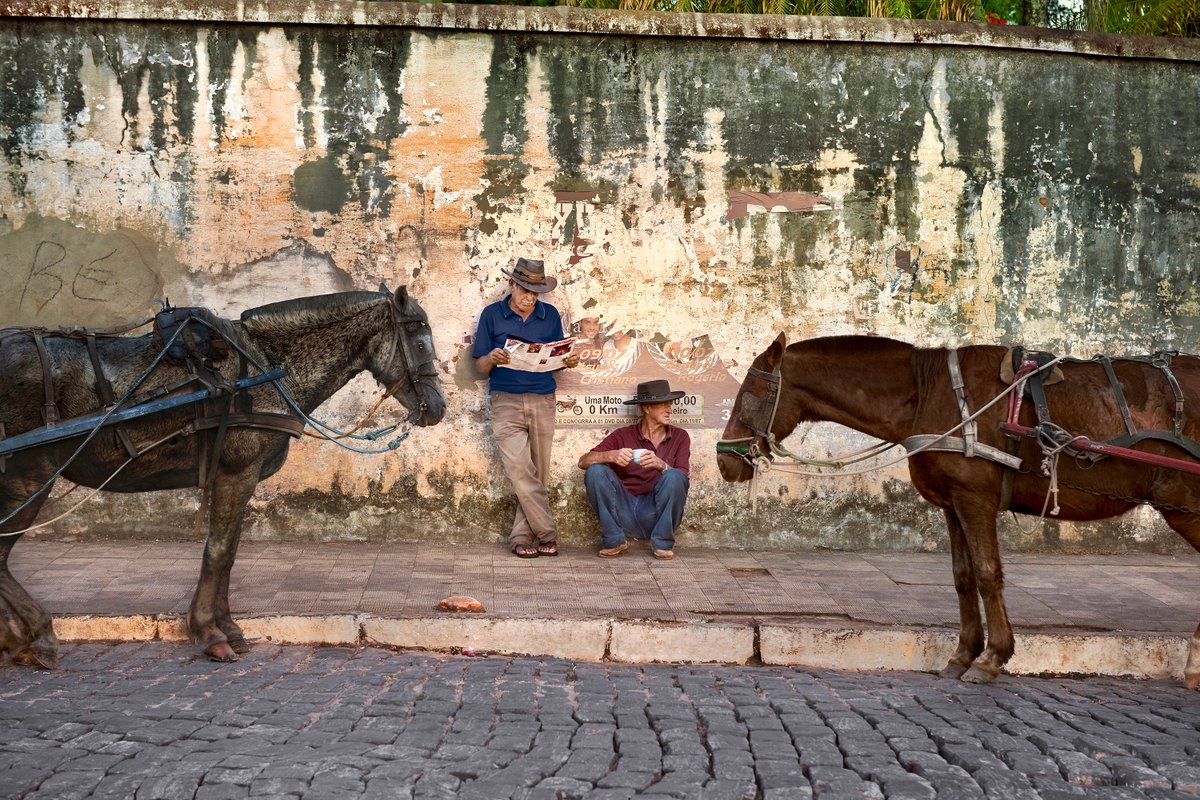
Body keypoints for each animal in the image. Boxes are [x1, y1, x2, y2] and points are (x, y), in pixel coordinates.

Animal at [0, 286, 445, 667]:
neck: (263, 366)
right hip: (29, 477)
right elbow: (219, 552)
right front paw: (210, 634)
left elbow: (227, 555)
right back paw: (38, 636)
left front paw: (227, 628)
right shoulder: (237, 472)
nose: (438, 408)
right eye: (421, 342)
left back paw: (16, 640)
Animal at [717, 333, 1200, 689]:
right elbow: (963, 578)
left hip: (1186, 506)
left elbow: (987, 574)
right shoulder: (953, 504)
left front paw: (992, 658)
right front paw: (963, 653)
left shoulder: (975, 498)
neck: (927, 393)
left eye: (750, 393)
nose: (724, 460)